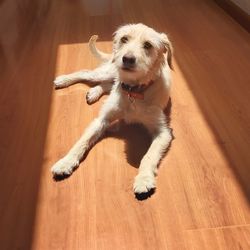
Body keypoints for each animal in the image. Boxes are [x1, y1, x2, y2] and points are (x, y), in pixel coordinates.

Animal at [51, 23, 173, 195]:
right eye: (124, 39)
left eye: (148, 45)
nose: (127, 59)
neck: (133, 91)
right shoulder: (102, 120)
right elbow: (82, 141)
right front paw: (66, 162)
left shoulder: (163, 132)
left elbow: (148, 156)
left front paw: (143, 179)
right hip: (107, 71)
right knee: (87, 73)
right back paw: (64, 80)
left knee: (108, 84)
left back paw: (94, 92)